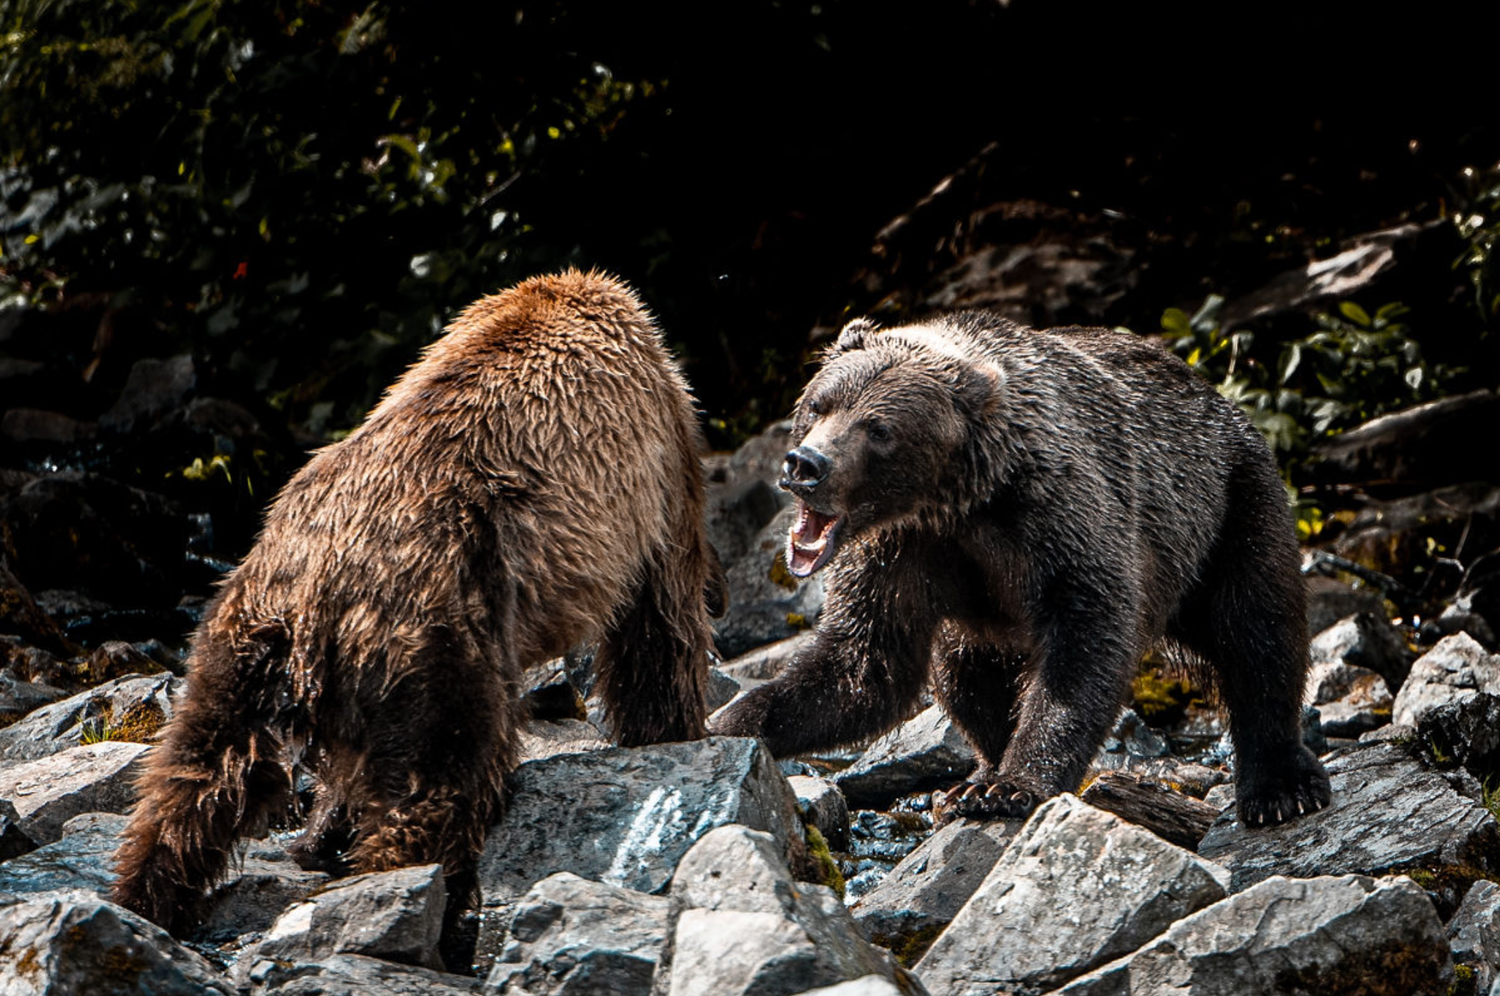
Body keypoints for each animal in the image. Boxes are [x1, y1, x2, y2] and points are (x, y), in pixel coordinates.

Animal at [112, 270, 724, 935]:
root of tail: (310, 601)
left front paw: (320, 832)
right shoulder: (660, 464)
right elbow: (661, 627)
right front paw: (672, 730)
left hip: (238, 637)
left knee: (196, 772)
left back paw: (146, 896)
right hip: (436, 633)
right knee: (435, 783)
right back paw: (424, 905)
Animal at [712, 311, 1331, 828]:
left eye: (879, 428)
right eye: (818, 405)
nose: (806, 464)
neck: (957, 500)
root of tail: (1212, 393)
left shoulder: (1053, 517)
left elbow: (1086, 638)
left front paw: (1013, 785)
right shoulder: (902, 552)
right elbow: (861, 664)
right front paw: (728, 722)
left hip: (1227, 504)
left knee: (1257, 629)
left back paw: (1281, 786)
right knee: (963, 673)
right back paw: (971, 775)